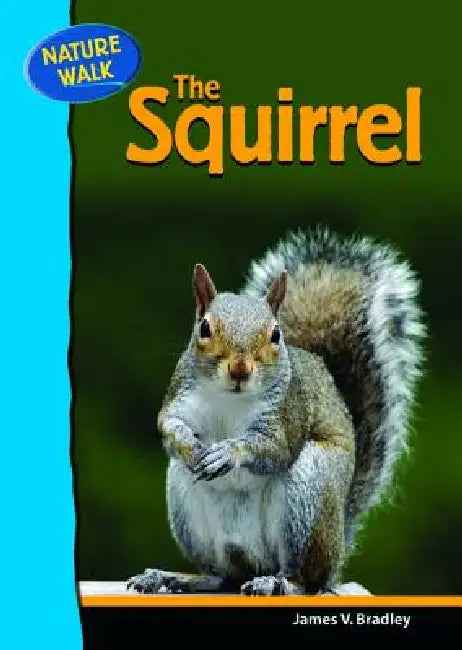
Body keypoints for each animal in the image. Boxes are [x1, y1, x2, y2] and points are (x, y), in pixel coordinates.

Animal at [127, 227, 424, 595]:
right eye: (205, 328)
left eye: (275, 333)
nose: (239, 370)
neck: (230, 397)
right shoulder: (181, 396)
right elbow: (169, 423)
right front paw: (190, 445)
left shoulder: (287, 413)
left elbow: (275, 447)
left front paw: (228, 452)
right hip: (186, 503)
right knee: (221, 575)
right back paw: (173, 578)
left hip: (307, 493)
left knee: (304, 579)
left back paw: (277, 582)